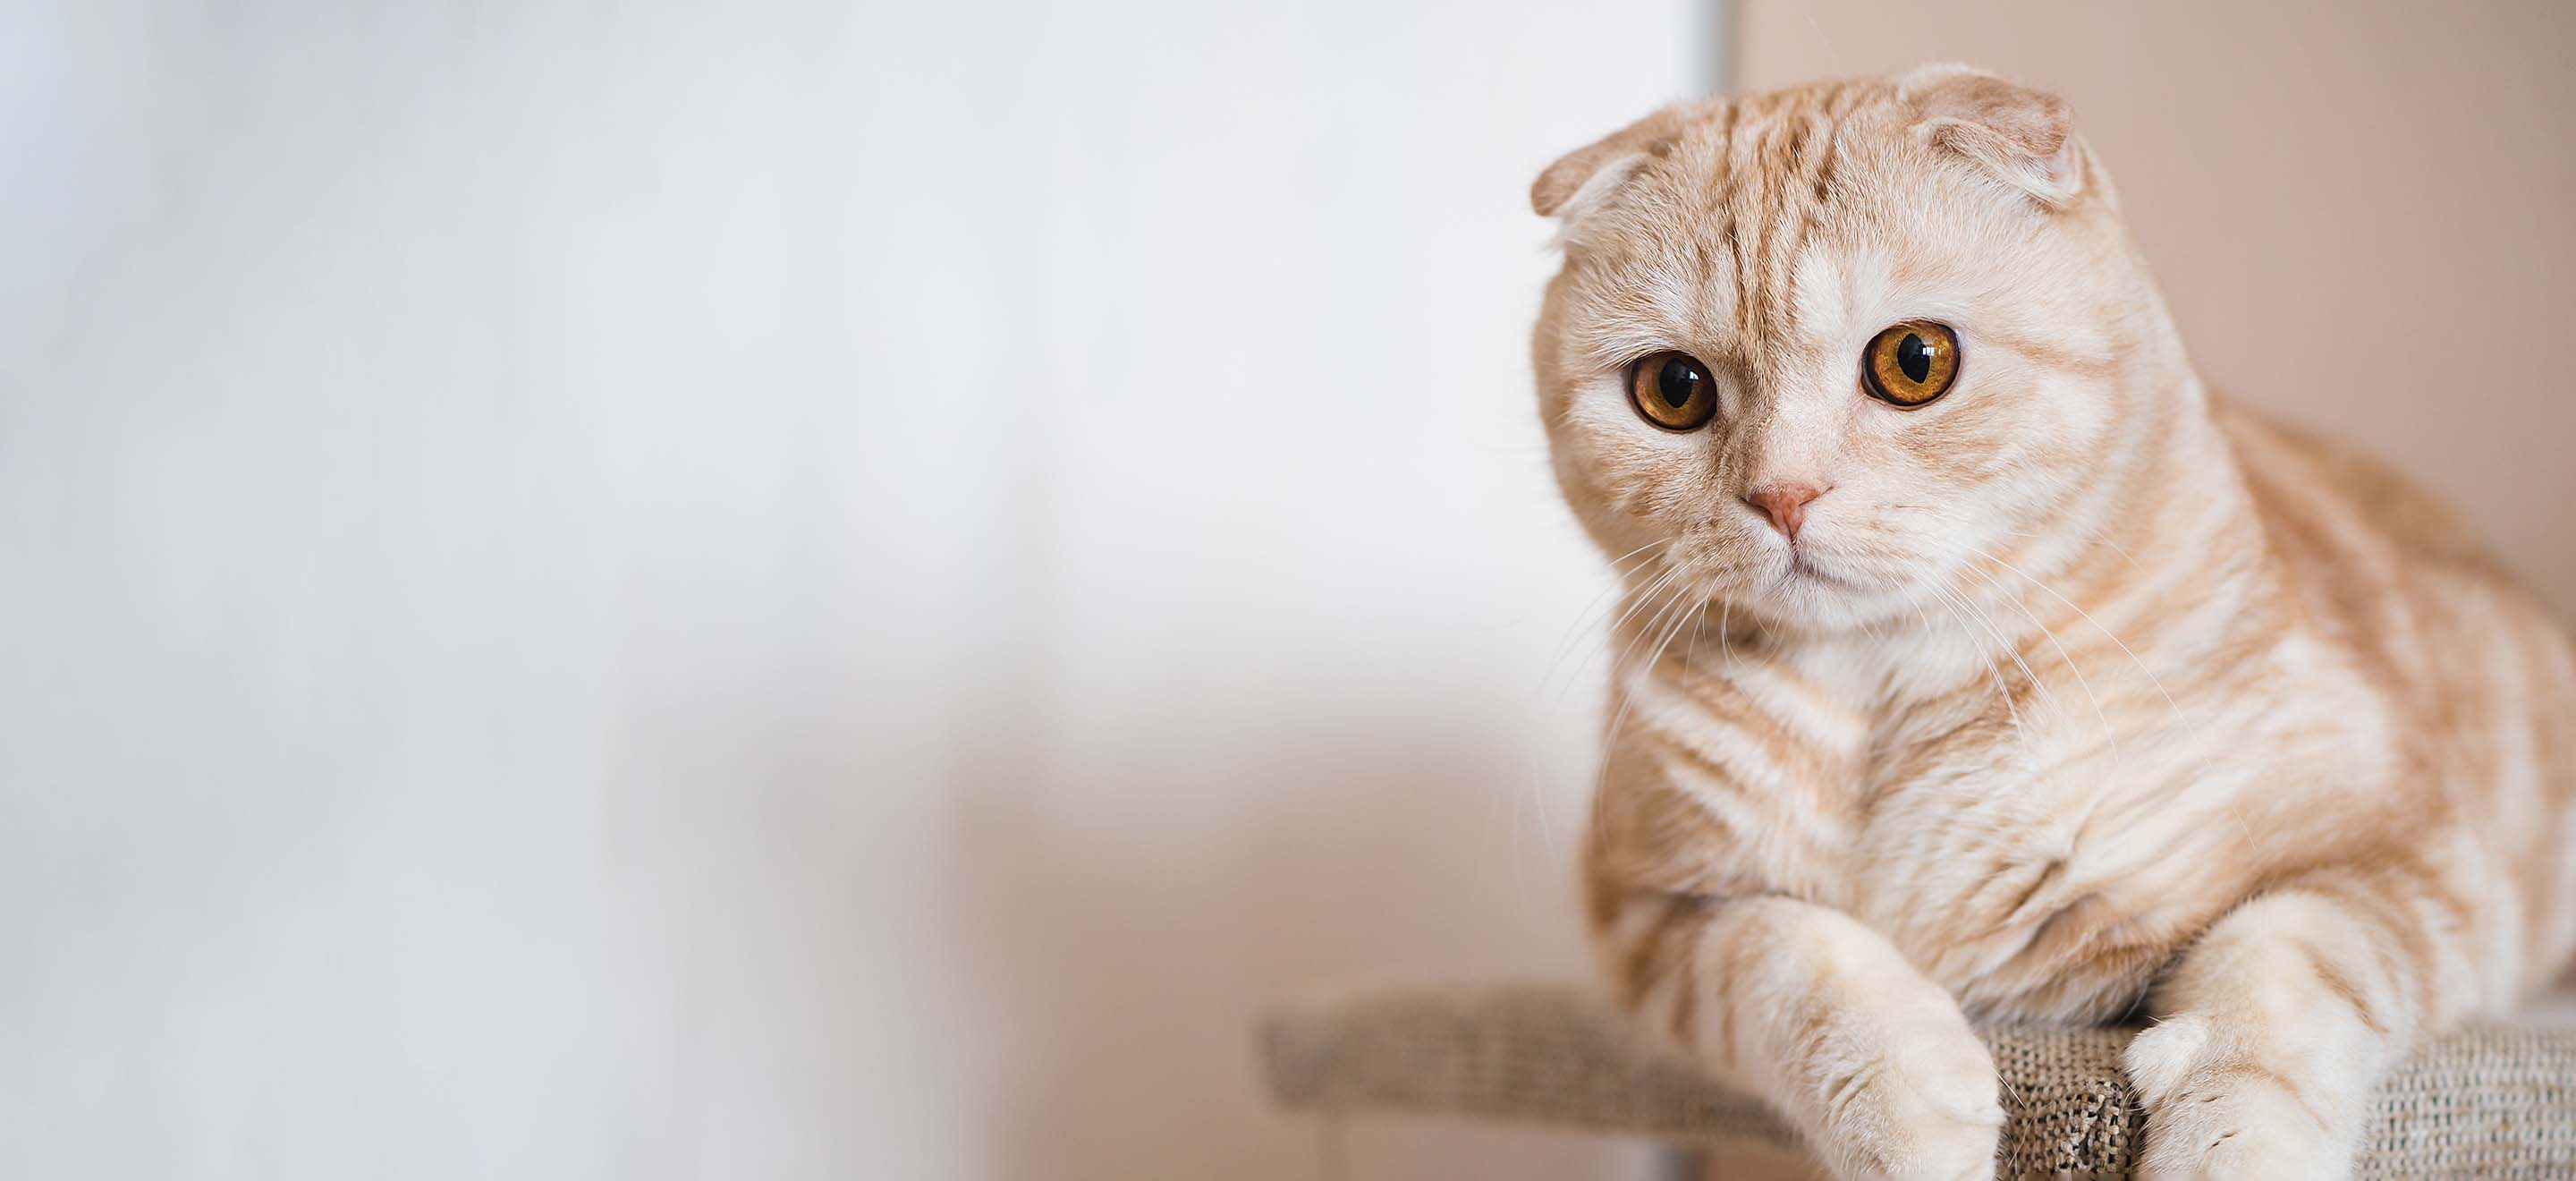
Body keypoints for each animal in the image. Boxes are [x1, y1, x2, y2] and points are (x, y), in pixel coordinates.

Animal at [1524, 66, 2576, 1181]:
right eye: (1673, 388)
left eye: (1914, 361)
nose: (1783, 495)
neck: (1885, 707)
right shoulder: (1656, 913)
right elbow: (1793, 960)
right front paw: (1913, 1120)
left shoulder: (2404, 861)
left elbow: (2276, 979)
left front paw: (2228, 1146)